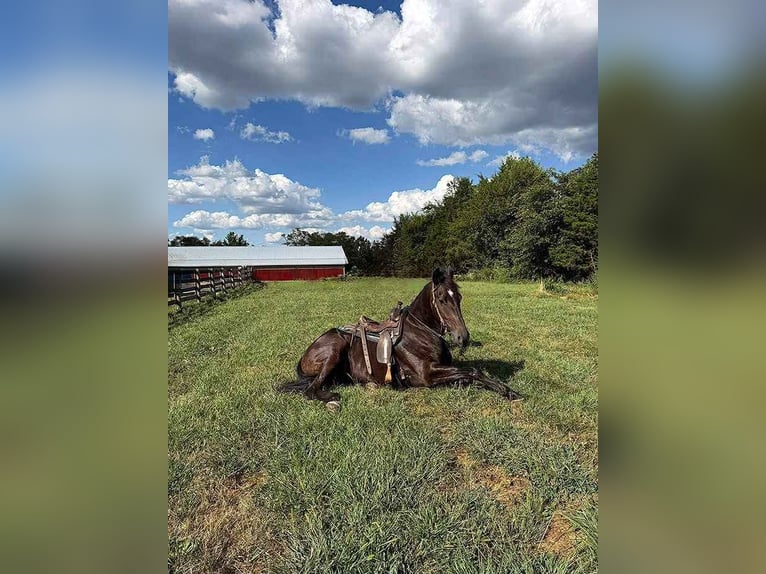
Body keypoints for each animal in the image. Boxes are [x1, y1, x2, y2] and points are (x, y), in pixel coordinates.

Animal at [278, 267, 522, 404]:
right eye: (442, 299)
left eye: (459, 297)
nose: (463, 337)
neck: (421, 332)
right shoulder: (427, 375)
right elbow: (473, 371)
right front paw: (507, 391)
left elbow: (468, 376)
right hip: (334, 350)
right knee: (310, 390)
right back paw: (332, 399)